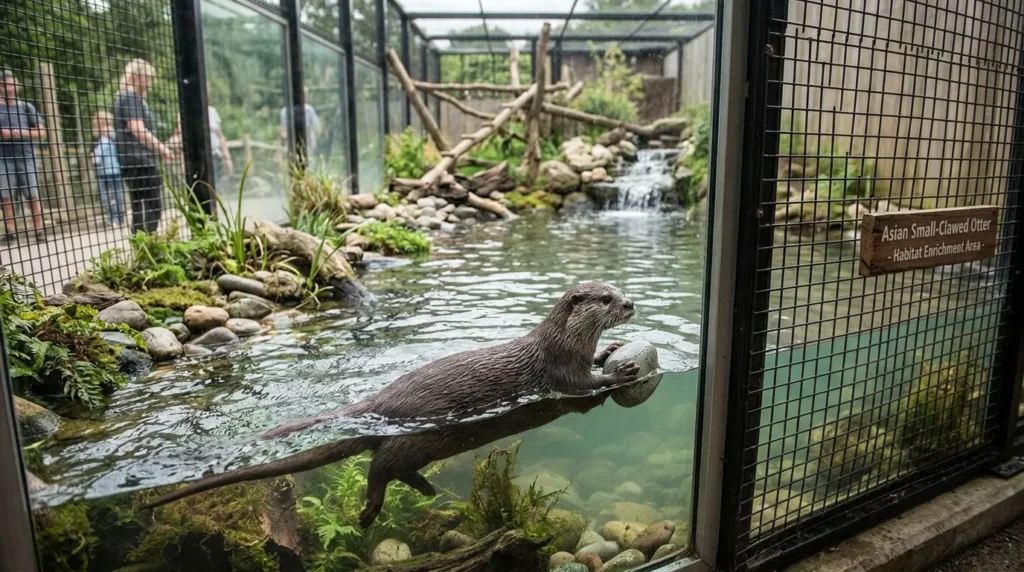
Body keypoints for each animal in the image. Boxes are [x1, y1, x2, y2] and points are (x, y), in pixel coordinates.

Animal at [145, 281, 640, 527]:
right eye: (605, 298)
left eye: (618, 289)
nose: (632, 303)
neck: (562, 342)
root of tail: (378, 401)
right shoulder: (561, 374)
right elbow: (585, 388)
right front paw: (620, 372)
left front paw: (610, 350)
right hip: (419, 437)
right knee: (378, 465)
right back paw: (369, 513)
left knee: (389, 463)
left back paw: (424, 490)